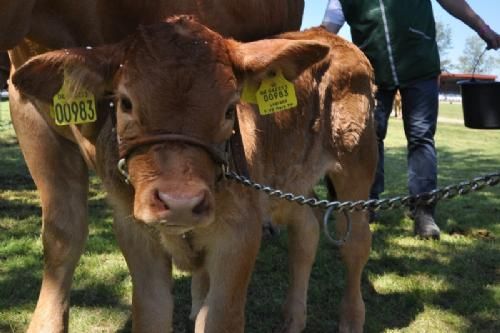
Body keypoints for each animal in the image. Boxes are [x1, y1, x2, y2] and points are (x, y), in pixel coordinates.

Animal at [11, 15, 376, 332]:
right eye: (126, 103)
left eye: (229, 109)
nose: (180, 202)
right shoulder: (136, 235)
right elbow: (152, 315)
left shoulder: (239, 236)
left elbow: (220, 319)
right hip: (290, 180)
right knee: (306, 231)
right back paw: (292, 319)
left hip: (357, 165)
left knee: (356, 243)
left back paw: (351, 319)